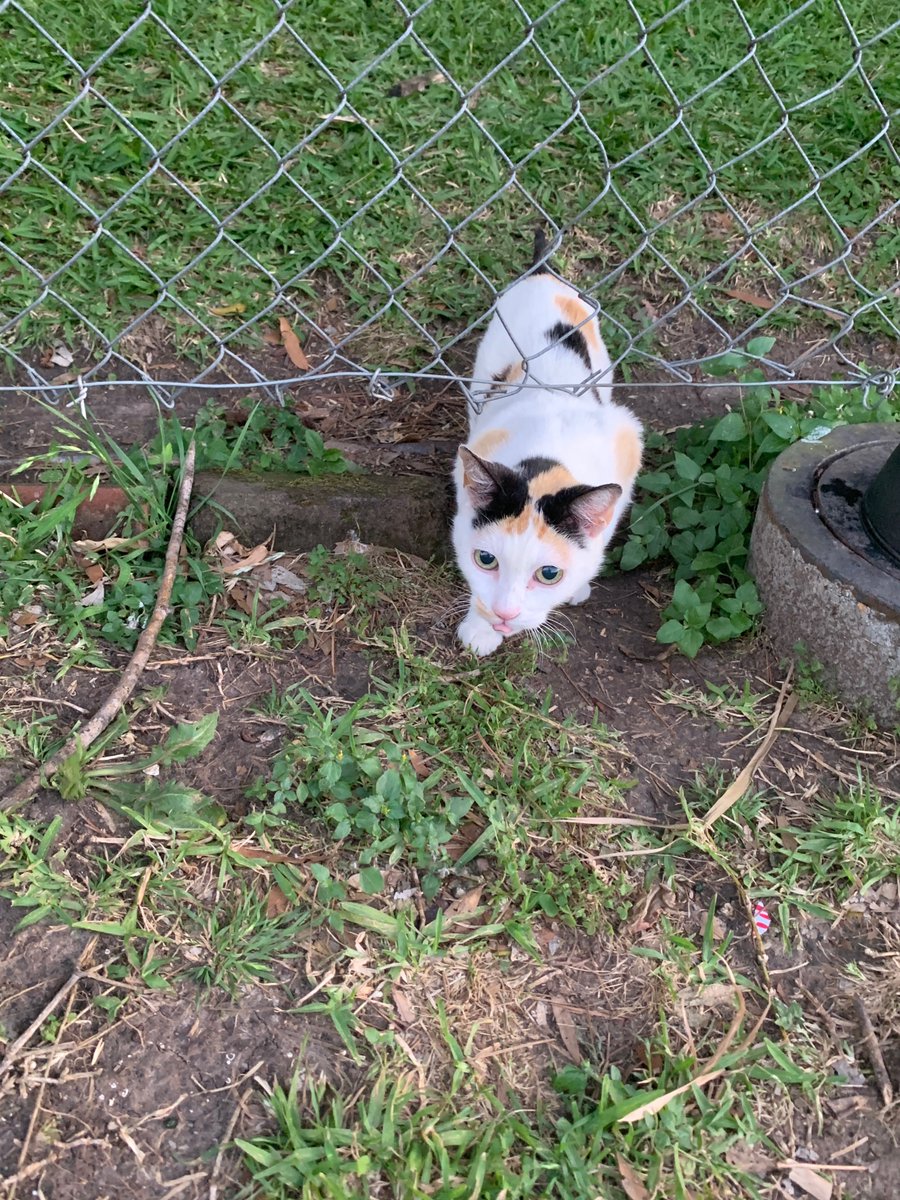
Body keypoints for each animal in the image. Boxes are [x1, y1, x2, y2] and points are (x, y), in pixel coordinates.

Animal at [453, 232, 643, 657]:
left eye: (549, 574)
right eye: (486, 559)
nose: (504, 615)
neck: (548, 459)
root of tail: (544, 275)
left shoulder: (629, 442)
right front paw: (481, 625)